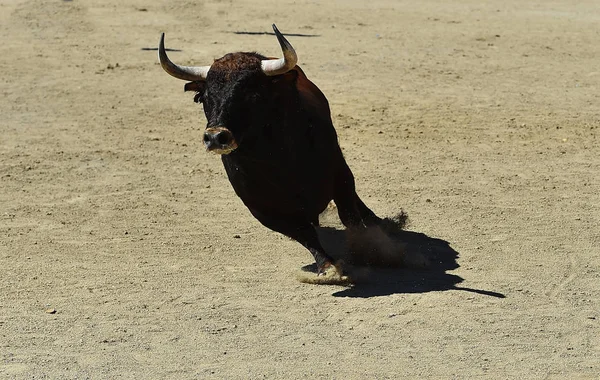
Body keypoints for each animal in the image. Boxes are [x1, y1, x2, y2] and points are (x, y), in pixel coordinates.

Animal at [159, 25, 382, 278]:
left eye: (252, 94)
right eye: (204, 97)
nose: (216, 136)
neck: (277, 161)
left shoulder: (340, 174)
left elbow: (349, 215)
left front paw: (368, 251)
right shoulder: (262, 209)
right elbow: (304, 234)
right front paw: (328, 267)